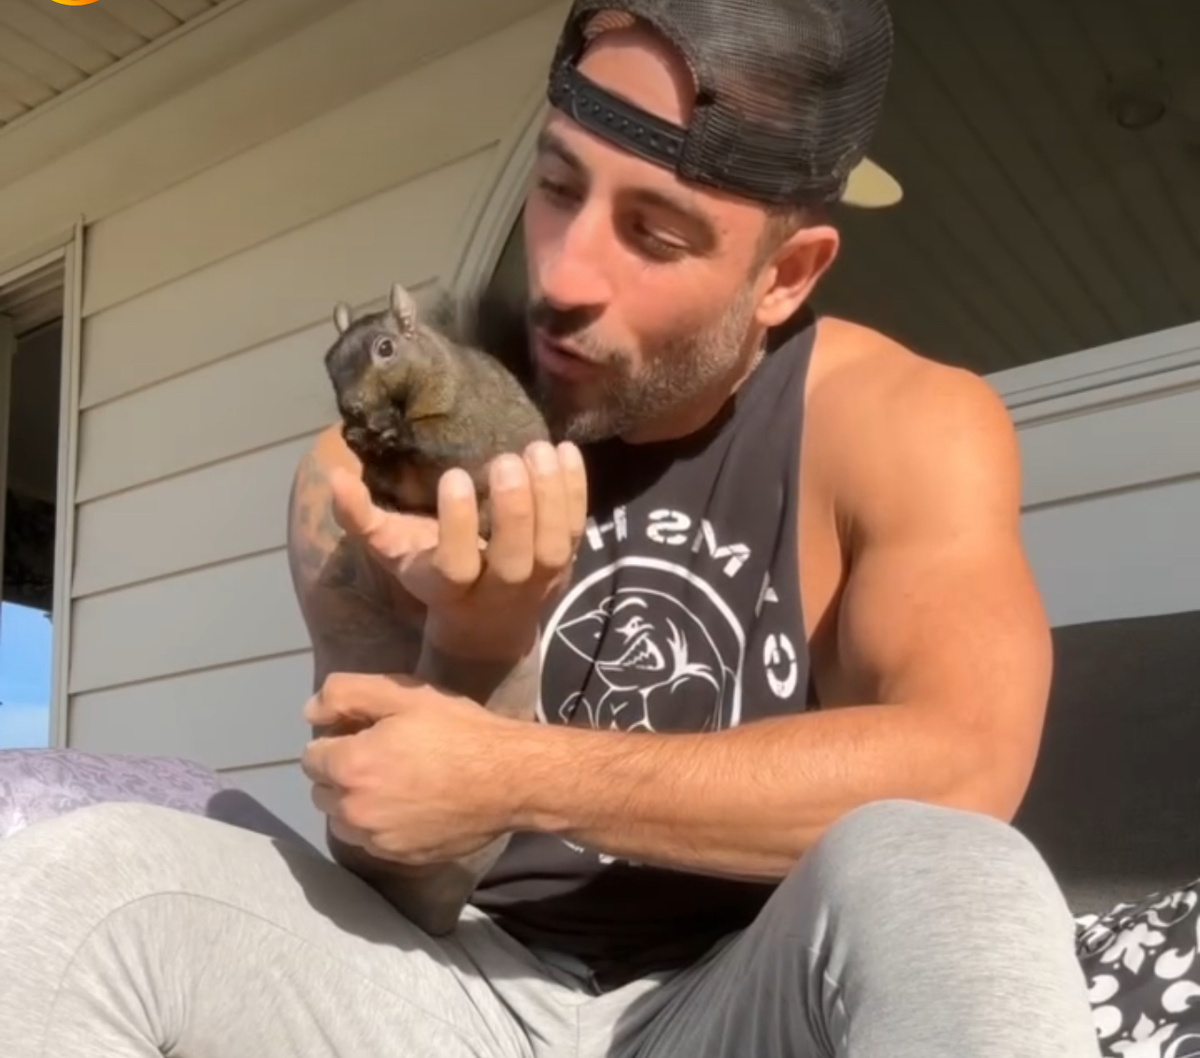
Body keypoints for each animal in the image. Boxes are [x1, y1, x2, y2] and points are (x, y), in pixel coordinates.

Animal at [323, 280, 550, 538]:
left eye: (385, 348)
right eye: (328, 360)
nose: (351, 405)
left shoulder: (470, 411)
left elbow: (457, 441)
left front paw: (397, 430)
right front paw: (354, 436)